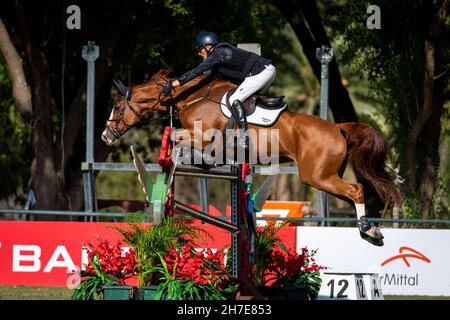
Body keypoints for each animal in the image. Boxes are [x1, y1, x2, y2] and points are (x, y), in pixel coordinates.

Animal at [103, 69, 404, 245]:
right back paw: (369, 230)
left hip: (317, 176)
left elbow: (176, 138)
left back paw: (370, 230)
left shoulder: (202, 137)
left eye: (117, 105)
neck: (192, 96)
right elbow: (176, 137)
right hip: (326, 176)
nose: (106, 136)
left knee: (356, 190)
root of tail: (337, 128)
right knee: (354, 193)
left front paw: (176, 160)